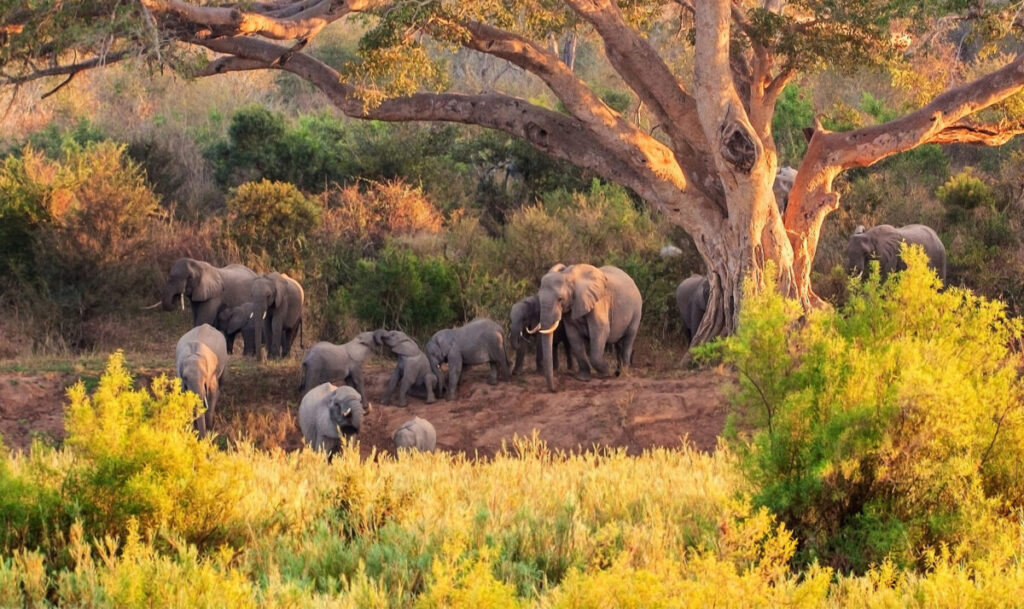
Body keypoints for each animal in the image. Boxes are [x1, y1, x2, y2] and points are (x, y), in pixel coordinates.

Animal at [536, 264, 638, 393]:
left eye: (560, 299)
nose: (555, 390)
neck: (569, 275)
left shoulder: (598, 303)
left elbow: (600, 330)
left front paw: (605, 374)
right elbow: (573, 336)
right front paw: (582, 378)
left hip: (636, 311)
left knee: (629, 338)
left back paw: (623, 374)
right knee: (618, 344)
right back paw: (617, 372)